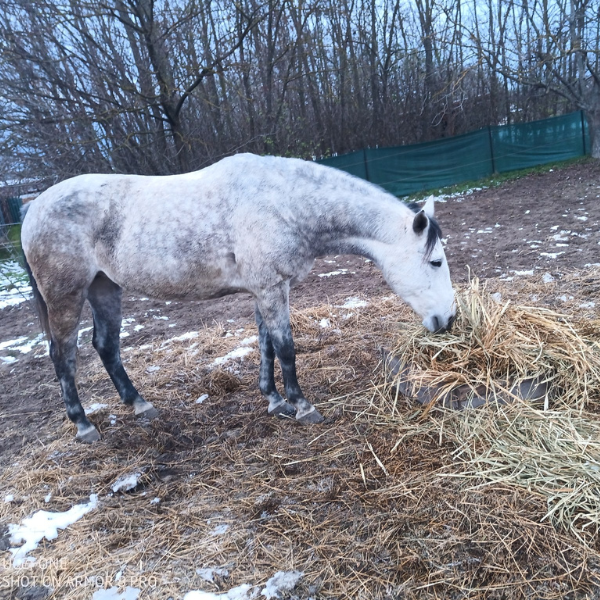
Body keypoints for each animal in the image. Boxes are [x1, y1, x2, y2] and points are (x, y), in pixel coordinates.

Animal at [22, 154, 454, 446]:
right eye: (435, 261)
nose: (448, 319)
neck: (285, 203)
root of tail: (32, 209)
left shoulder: (266, 289)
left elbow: (266, 346)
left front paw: (275, 400)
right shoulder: (270, 288)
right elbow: (286, 347)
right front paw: (302, 406)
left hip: (105, 288)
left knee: (106, 346)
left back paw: (140, 405)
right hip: (66, 296)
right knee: (63, 355)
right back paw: (83, 425)